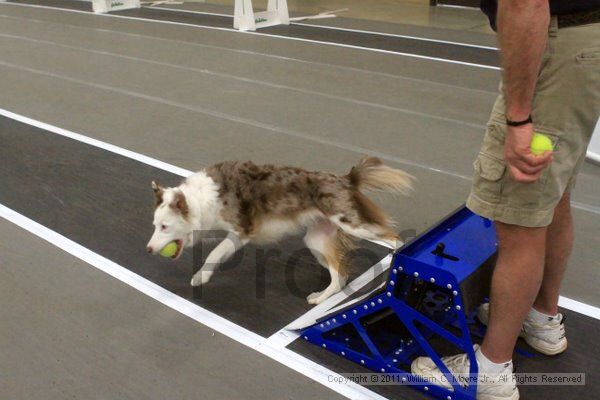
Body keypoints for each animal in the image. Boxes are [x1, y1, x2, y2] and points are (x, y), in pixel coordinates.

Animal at [148, 156, 414, 304]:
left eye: (164, 226)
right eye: (155, 226)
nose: (149, 249)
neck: (201, 199)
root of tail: (345, 179)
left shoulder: (243, 231)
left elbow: (215, 254)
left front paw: (200, 277)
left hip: (352, 224)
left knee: (394, 238)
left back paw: (397, 261)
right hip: (317, 239)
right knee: (339, 276)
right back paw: (319, 298)